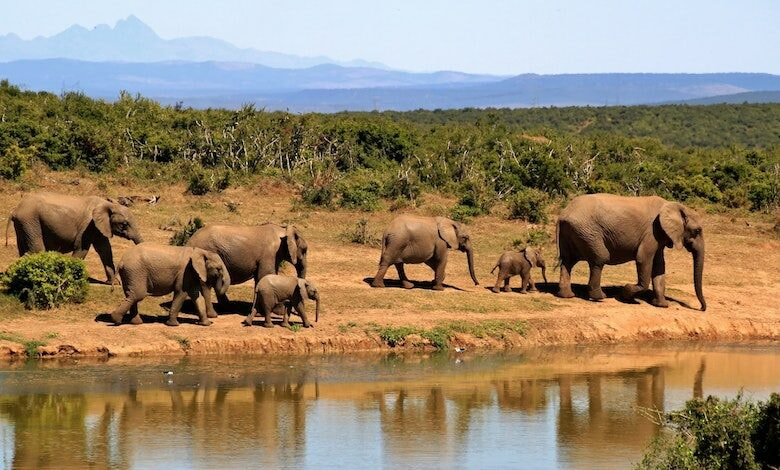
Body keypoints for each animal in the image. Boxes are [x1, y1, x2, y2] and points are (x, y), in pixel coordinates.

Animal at [6, 192, 142, 282]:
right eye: (125, 224)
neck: (108, 204)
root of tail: (15, 211)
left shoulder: (99, 228)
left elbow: (105, 250)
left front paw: (113, 283)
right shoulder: (88, 226)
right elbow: (82, 249)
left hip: (24, 225)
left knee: (24, 249)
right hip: (30, 221)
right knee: (36, 250)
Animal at [556, 193, 708, 310]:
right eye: (697, 231)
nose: (701, 308)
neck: (673, 205)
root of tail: (563, 214)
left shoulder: (659, 235)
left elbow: (659, 266)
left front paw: (662, 305)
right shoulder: (652, 232)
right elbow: (643, 259)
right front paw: (626, 293)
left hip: (573, 232)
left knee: (568, 261)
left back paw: (567, 295)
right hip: (588, 232)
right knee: (600, 259)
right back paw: (600, 297)